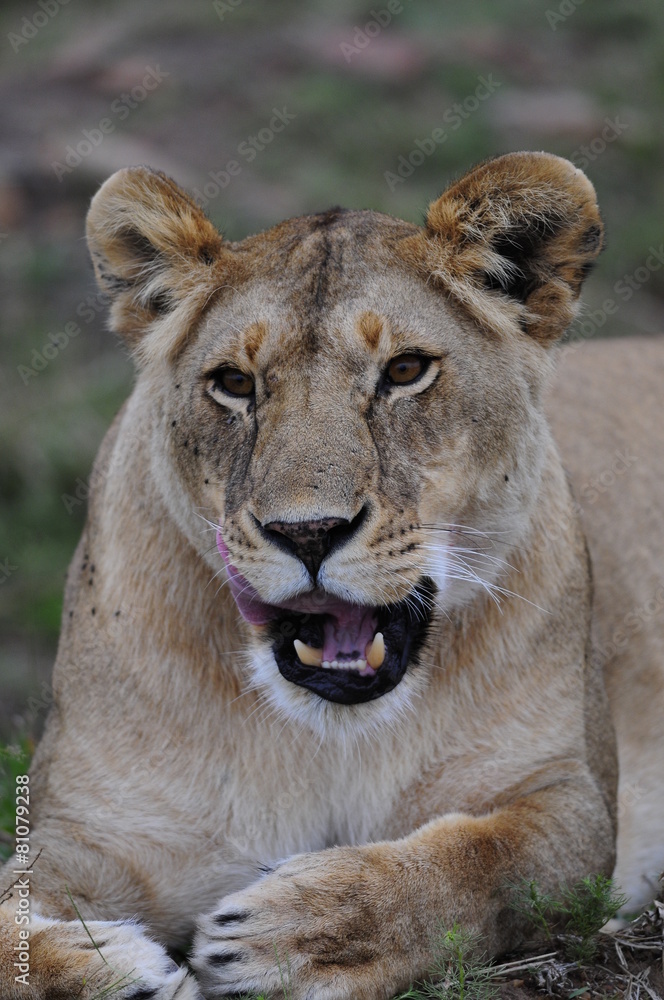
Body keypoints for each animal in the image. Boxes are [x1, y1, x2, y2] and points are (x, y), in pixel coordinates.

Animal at [1, 151, 663, 1000]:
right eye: (234, 384)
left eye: (405, 370)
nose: (307, 531)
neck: (325, 739)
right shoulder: (91, 829)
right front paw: (121, 972)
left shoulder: (570, 798)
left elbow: (479, 865)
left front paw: (293, 934)